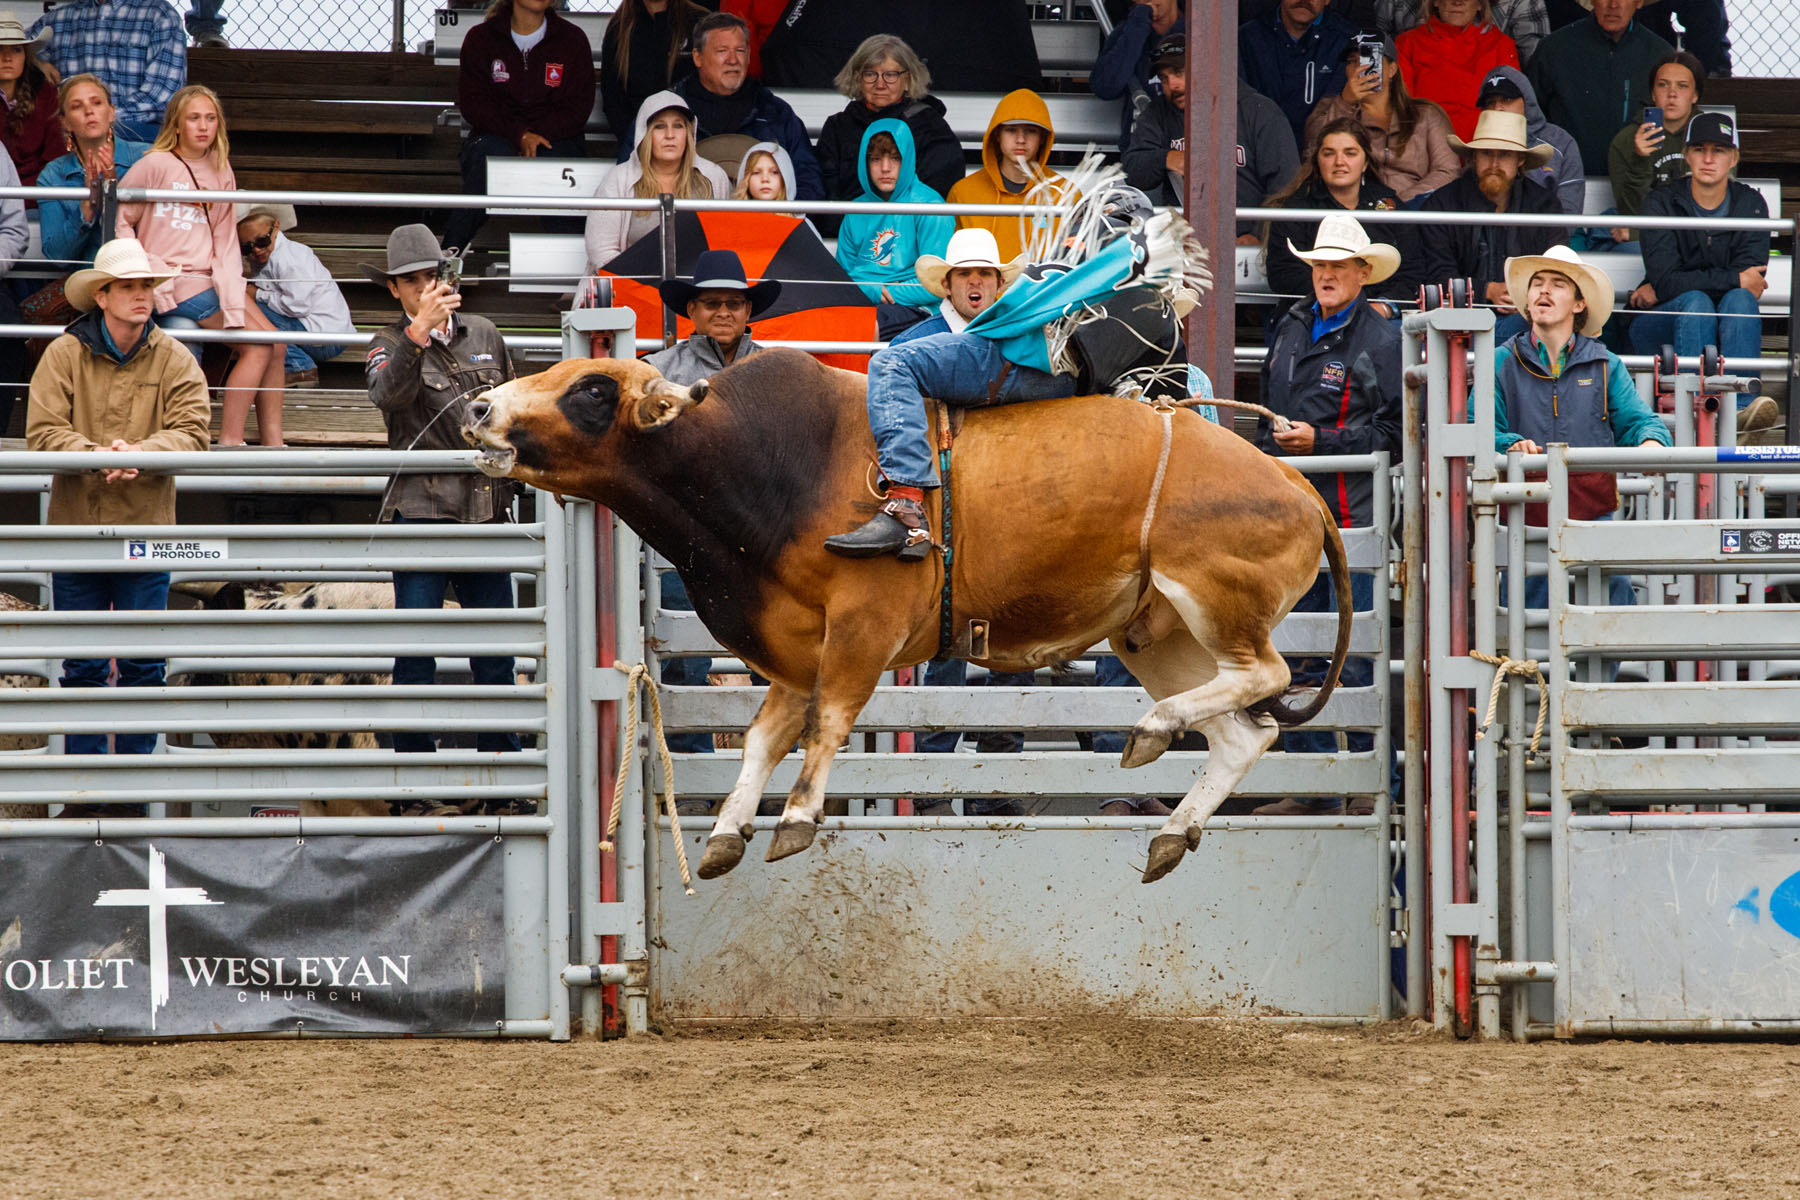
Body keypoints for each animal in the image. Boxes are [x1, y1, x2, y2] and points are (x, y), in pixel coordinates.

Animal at [461, 351, 1349, 884]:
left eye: (592, 389)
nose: (476, 409)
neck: (766, 460)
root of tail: (1299, 488)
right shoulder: (792, 645)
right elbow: (763, 737)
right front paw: (725, 833)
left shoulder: (864, 624)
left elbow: (828, 719)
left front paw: (797, 818)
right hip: (1153, 632)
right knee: (1246, 730)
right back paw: (1168, 814)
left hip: (1210, 595)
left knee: (1265, 675)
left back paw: (1152, 729)